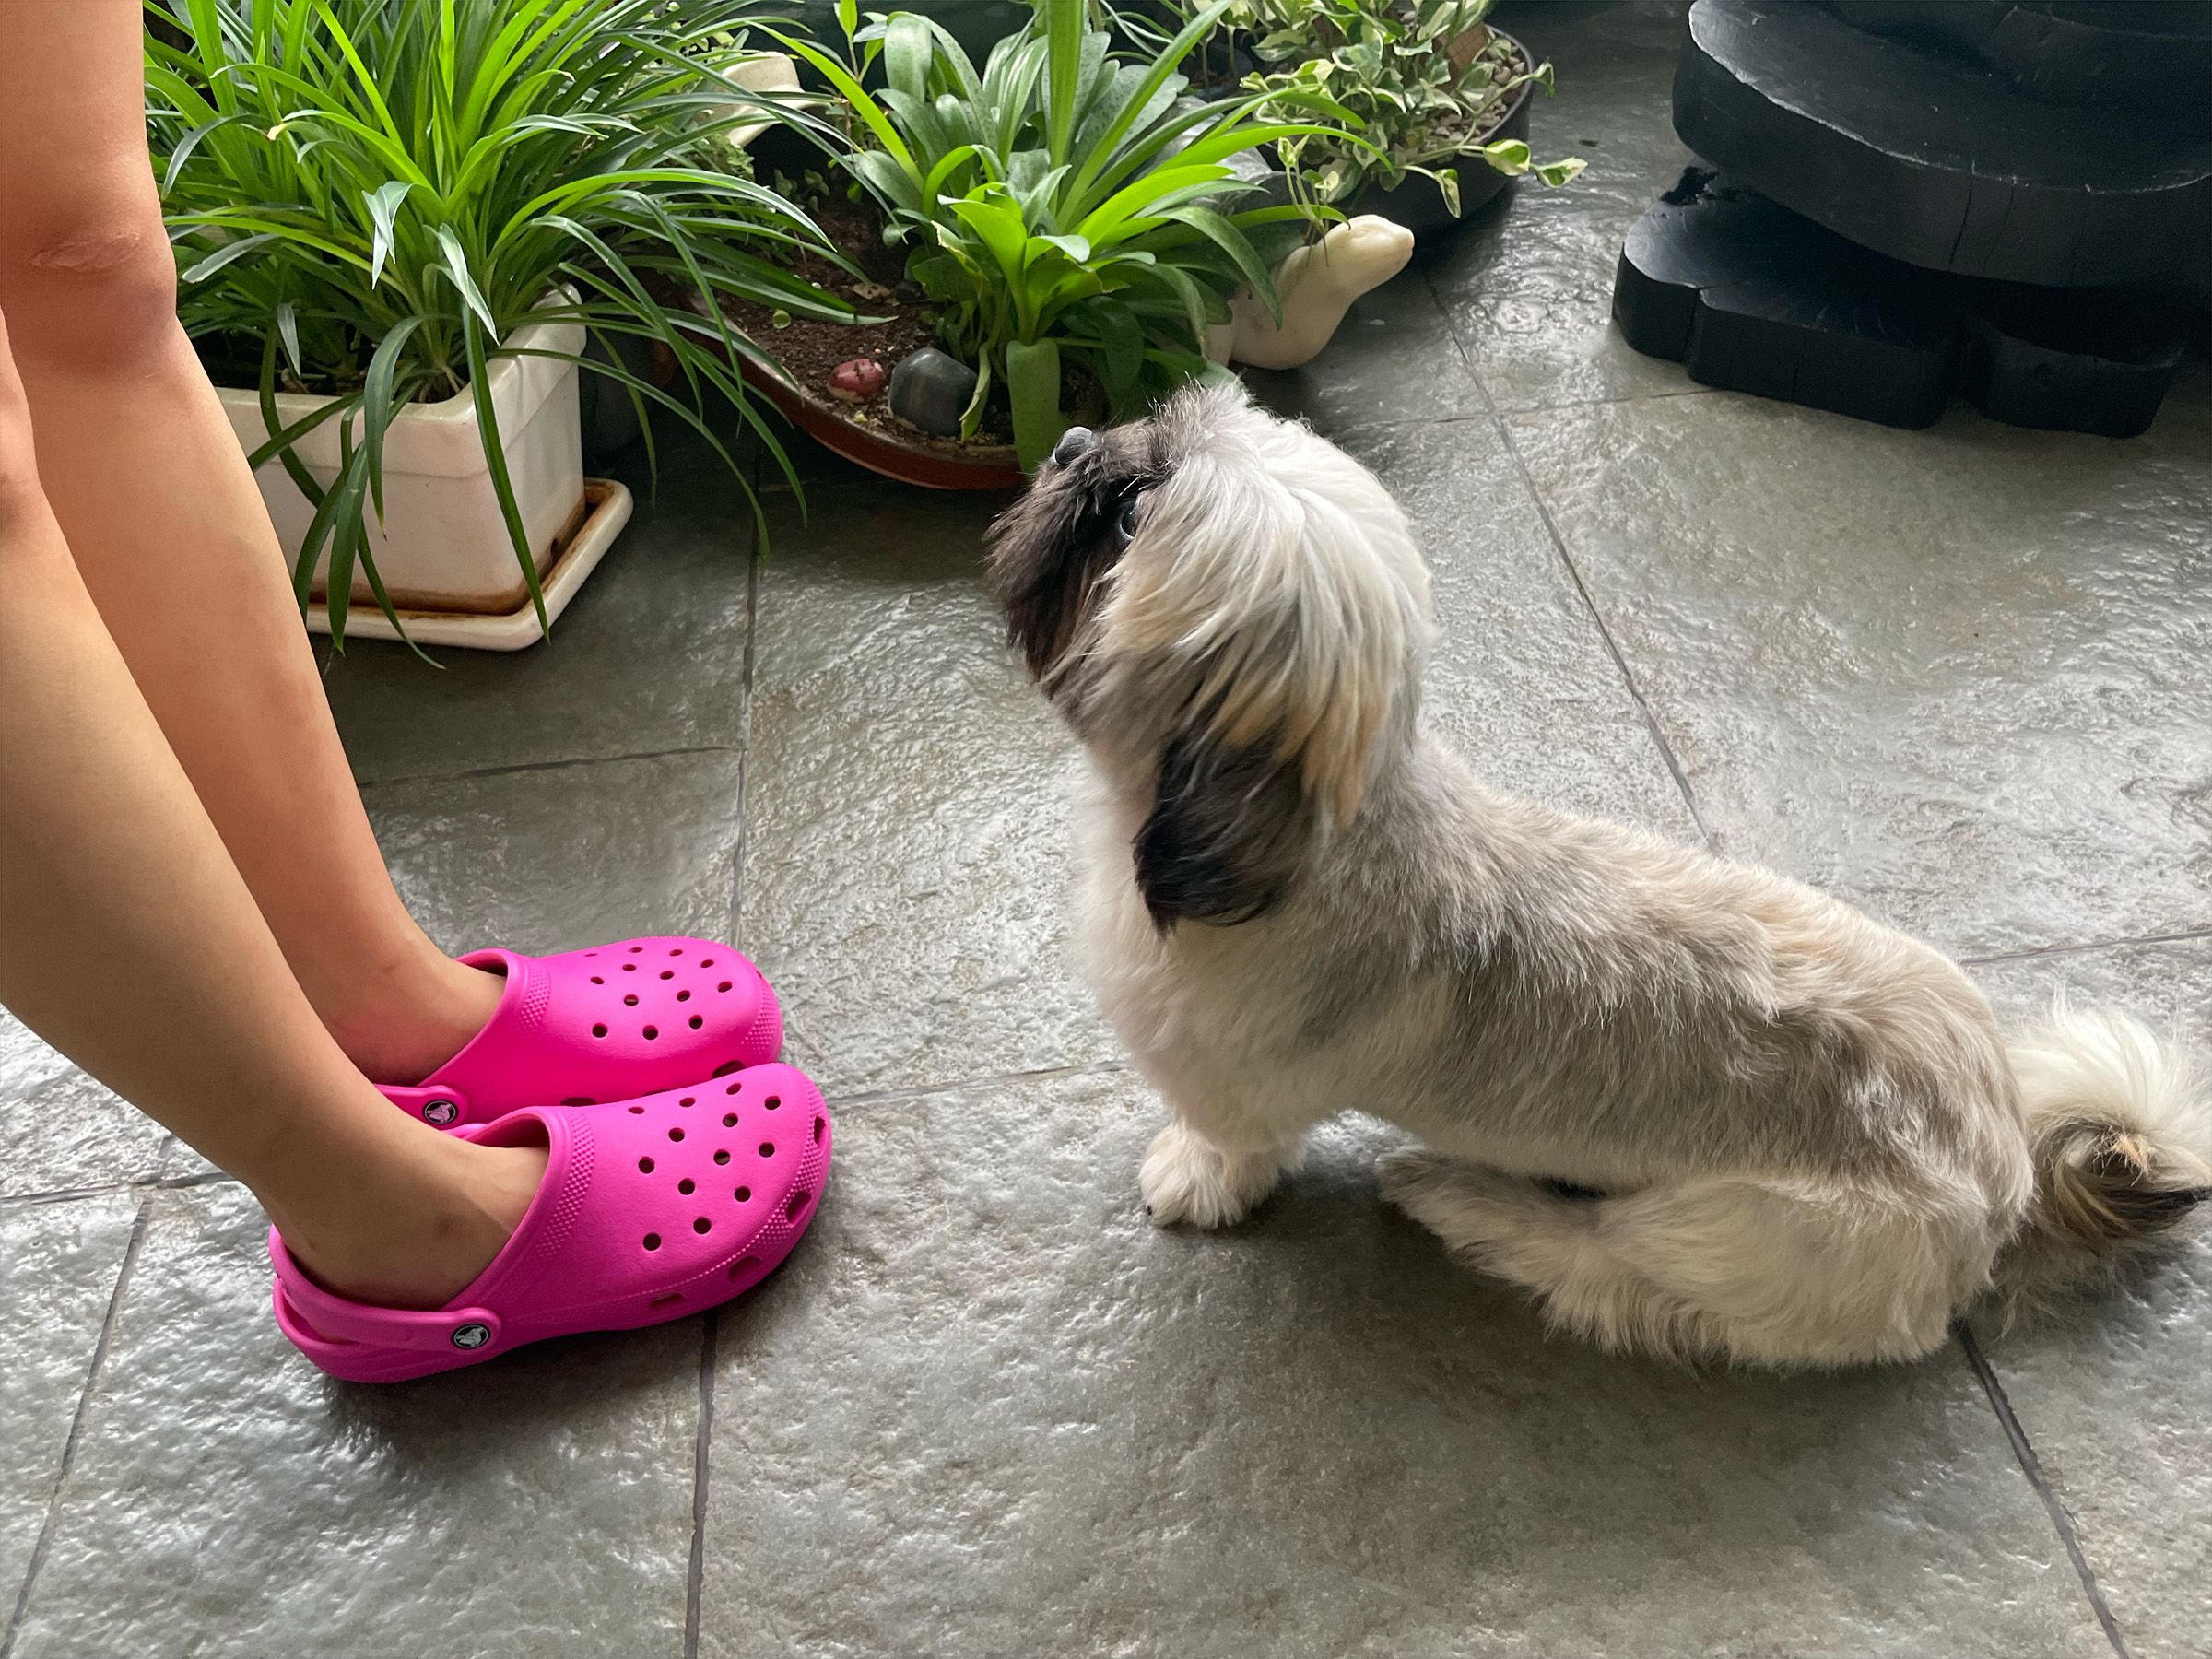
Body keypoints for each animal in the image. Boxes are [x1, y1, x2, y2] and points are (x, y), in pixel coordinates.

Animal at [991, 382, 2212, 1371]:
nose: (1070, 442)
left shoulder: (1233, 1086)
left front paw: (1193, 1178)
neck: (1326, 831)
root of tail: (2002, 1170)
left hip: (1732, 1240)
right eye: (1146, 431)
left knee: (1609, 1277)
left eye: (1131, 512)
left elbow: (1229, 1142)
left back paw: (1465, 1199)